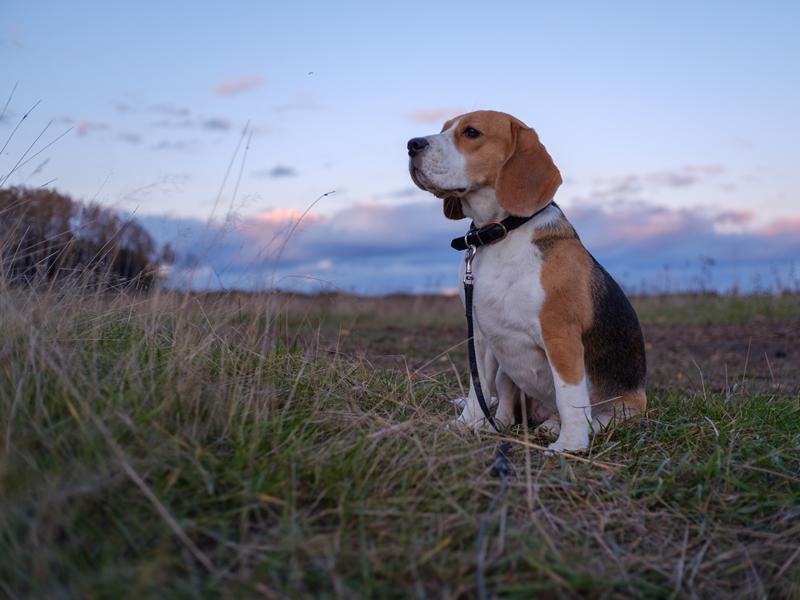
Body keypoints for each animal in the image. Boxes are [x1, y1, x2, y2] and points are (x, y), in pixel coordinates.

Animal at [410, 110, 648, 452]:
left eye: (471, 132)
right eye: (443, 128)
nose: (412, 144)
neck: (501, 234)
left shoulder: (560, 335)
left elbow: (569, 396)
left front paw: (570, 446)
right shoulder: (480, 334)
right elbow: (476, 386)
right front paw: (467, 424)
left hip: (626, 406)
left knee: (592, 416)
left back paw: (558, 427)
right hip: (505, 372)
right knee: (506, 410)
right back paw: (502, 424)